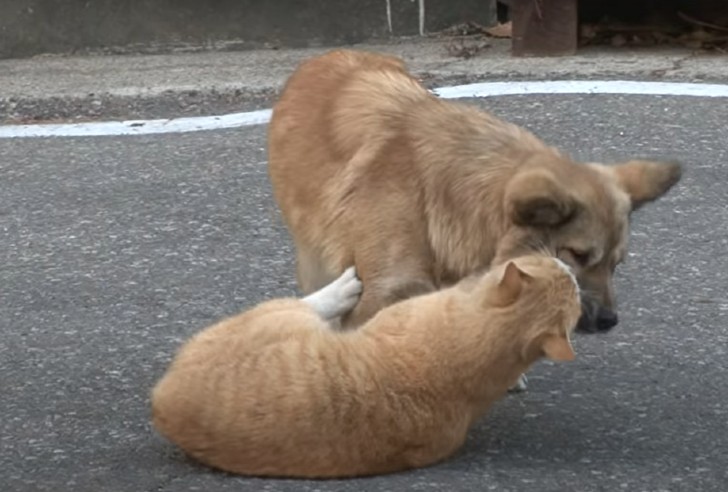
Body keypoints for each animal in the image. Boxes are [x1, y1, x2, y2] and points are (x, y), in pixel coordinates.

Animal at [152, 256, 580, 478]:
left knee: (312, 303)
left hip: (279, 314)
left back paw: (341, 289)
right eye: (551, 263)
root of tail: (163, 398)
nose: (572, 268)